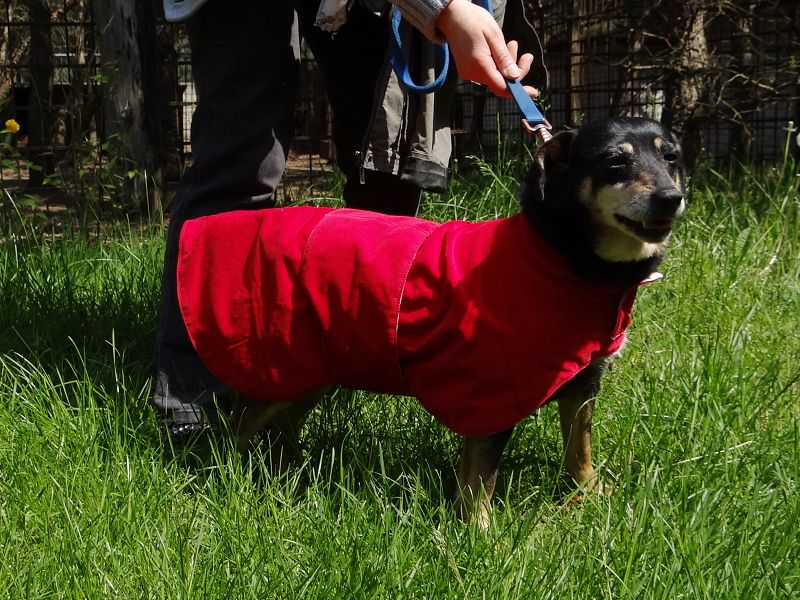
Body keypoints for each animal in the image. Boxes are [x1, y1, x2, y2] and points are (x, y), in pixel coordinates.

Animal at [176, 117, 685, 527]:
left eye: (672, 157)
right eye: (614, 162)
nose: (671, 198)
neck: (560, 257)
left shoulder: (584, 382)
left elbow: (579, 447)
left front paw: (590, 493)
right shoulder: (491, 392)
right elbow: (479, 479)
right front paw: (480, 537)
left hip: (315, 370)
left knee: (282, 427)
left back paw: (290, 470)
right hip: (278, 365)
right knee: (237, 427)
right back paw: (229, 477)